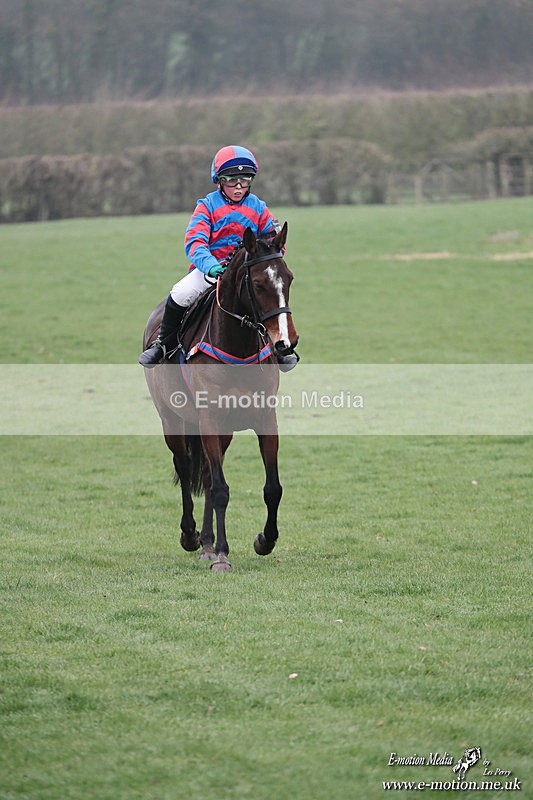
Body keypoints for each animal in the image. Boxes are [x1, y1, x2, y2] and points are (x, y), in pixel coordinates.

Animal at [143, 222, 298, 572]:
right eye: (258, 283)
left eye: (289, 278)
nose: (286, 341)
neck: (237, 348)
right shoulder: (209, 419)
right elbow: (220, 490)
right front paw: (223, 555)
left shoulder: (265, 419)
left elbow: (273, 488)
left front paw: (265, 540)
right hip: (172, 420)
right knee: (186, 469)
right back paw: (192, 536)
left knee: (206, 475)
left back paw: (207, 544)